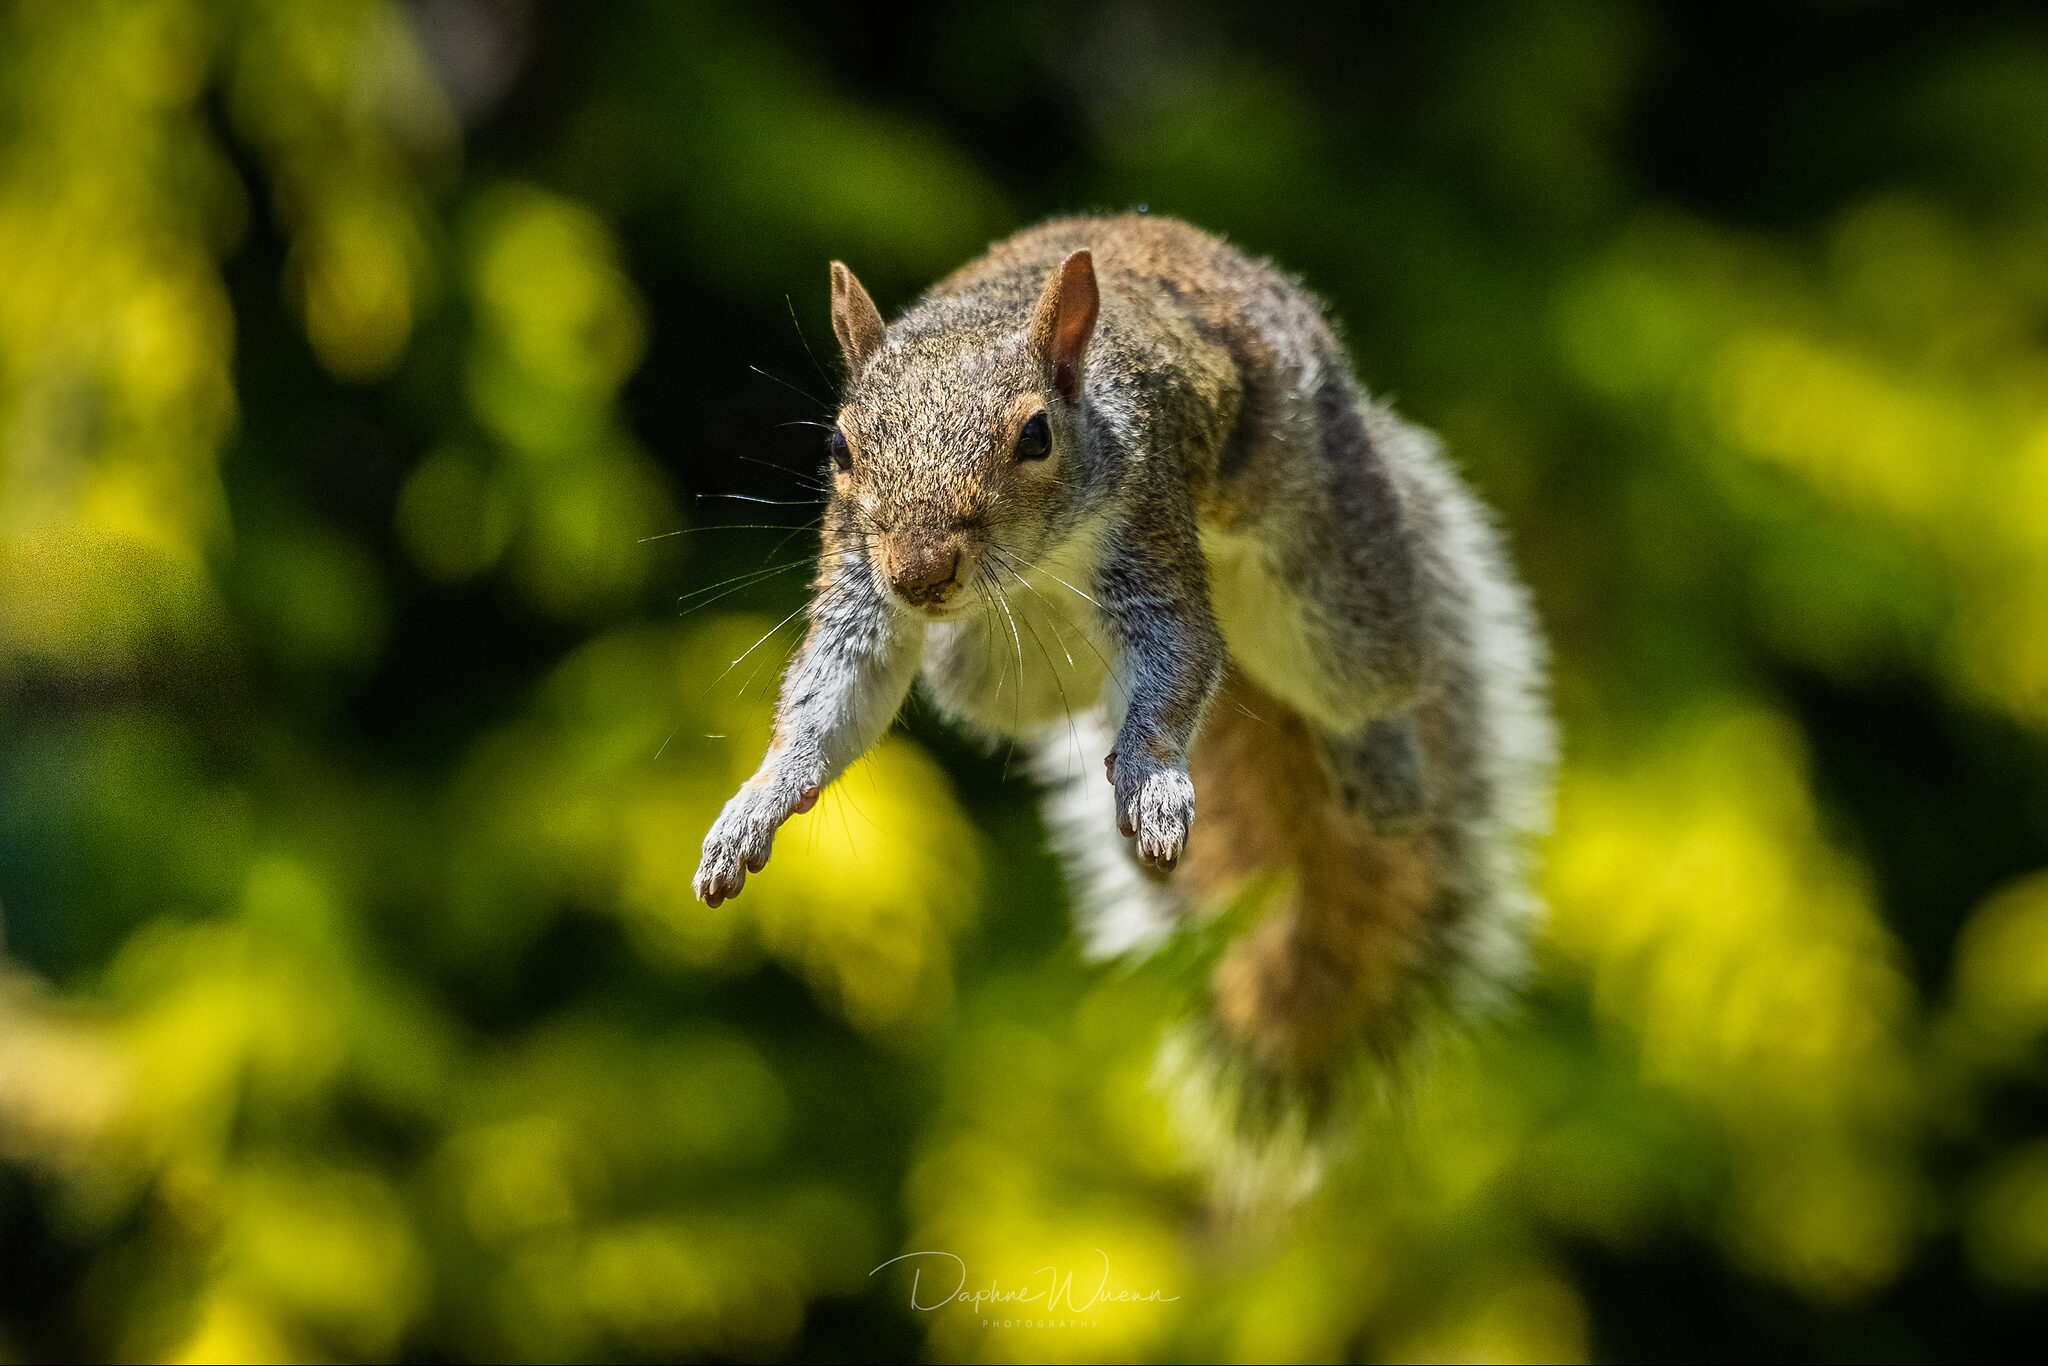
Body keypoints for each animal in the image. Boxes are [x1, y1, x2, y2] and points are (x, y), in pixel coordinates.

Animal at [692, 210, 1548, 1196]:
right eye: (840, 448)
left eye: (1034, 437)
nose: (921, 575)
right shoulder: (859, 575)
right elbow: (836, 691)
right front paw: (757, 805)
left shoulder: (1150, 523)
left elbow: (1179, 658)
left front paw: (1156, 777)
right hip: (988, 666)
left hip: (1327, 588)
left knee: (1365, 675)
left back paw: (1384, 766)